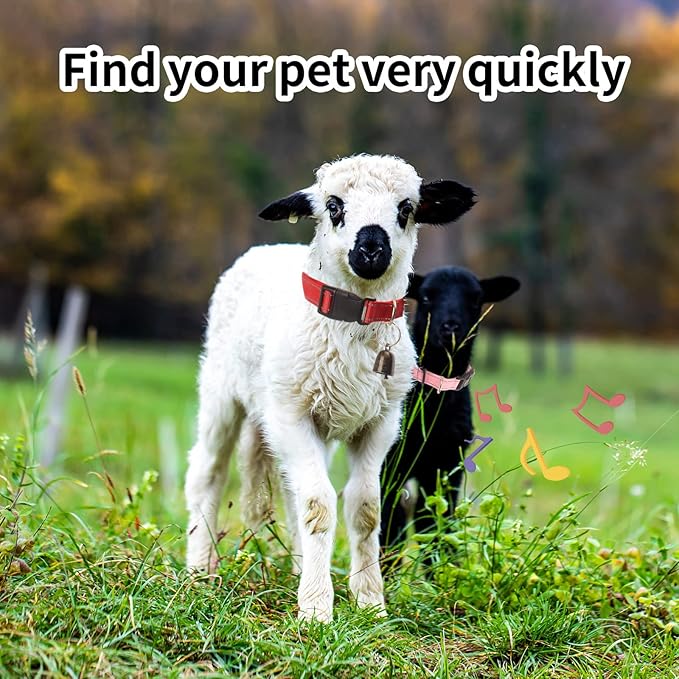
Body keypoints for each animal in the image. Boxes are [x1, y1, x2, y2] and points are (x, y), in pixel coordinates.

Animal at [184, 155, 476, 621]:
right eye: (334, 205)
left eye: (406, 208)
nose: (372, 249)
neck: (354, 321)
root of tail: (267, 248)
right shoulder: (292, 415)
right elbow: (320, 505)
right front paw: (318, 609)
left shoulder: (380, 424)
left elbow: (365, 507)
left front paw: (370, 603)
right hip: (221, 391)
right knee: (208, 472)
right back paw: (197, 571)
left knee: (291, 491)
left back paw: (297, 567)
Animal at [380, 266, 520, 552]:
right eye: (425, 297)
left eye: (476, 299)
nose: (451, 327)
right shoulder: (391, 464)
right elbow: (391, 524)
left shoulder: (446, 465)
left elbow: (437, 524)